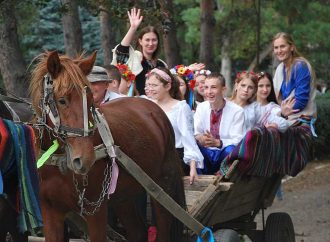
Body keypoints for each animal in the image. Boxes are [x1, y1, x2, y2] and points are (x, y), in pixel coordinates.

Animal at [29, 50, 186, 241]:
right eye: (62, 100)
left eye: (90, 100)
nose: (85, 158)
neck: (60, 163)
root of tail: (154, 109)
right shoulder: (50, 211)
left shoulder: (96, 210)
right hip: (124, 196)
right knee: (137, 231)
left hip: (162, 186)